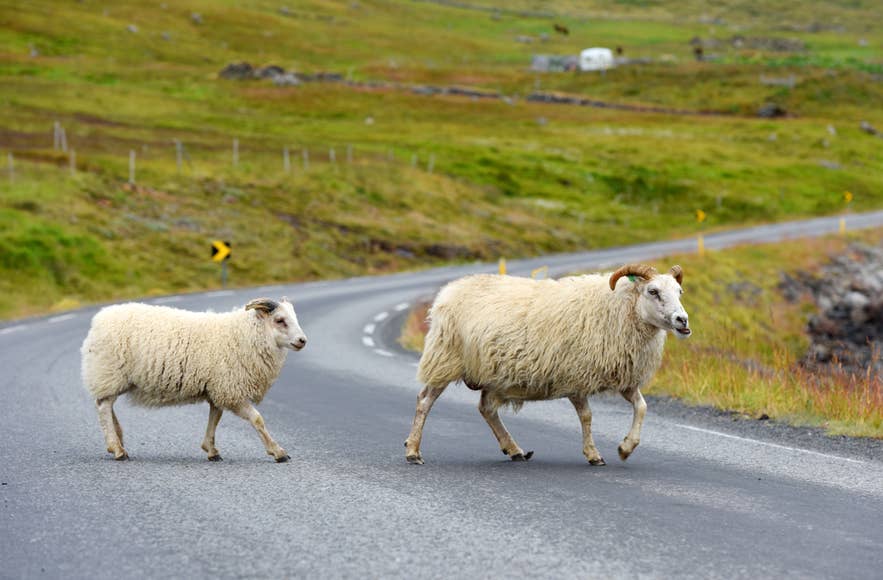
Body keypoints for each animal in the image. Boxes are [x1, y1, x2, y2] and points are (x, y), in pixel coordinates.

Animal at [80, 297, 307, 462]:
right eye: (280, 320)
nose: (302, 340)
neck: (244, 335)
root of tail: (98, 319)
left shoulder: (218, 388)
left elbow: (215, 417)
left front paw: (211, 450)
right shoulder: (230, 389)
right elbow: (257, 419)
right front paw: (278, 452)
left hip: (113, 378)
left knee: (106, 405)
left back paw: (117, 441)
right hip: (109, 372)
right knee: (103, 406)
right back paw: (117, 449)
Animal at [404, 264, 690, 466]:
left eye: (679, 292)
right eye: (653, 291)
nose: (683, 320)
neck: (619, 308)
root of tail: (449, 291)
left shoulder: (624, 378)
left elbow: (642, 407)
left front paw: (626, 448)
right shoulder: (577, 377)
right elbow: (587, 417)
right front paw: (594, 454)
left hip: (492, 374)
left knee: (486, 409)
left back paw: (514, 450)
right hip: (445, 358)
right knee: (424, 401)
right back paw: (413, 451)